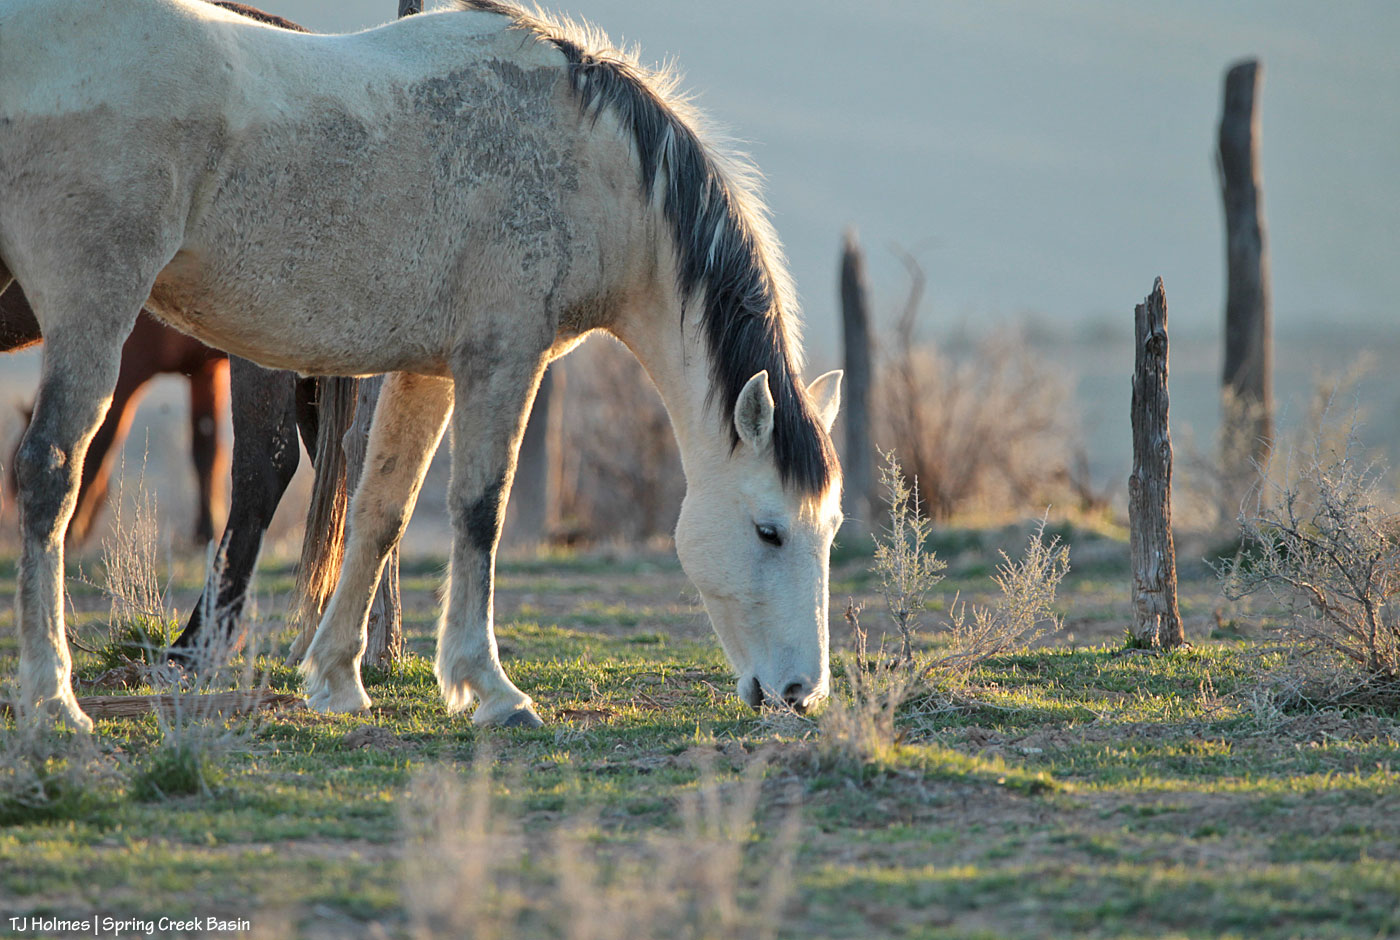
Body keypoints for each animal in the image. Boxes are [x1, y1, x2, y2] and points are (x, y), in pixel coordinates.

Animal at [0, 0, 844, 731]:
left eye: (830, 528)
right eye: (769, 531)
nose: (801, 691)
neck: (588, 154)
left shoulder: (429, 372)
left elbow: (383, 511)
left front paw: (338, 679)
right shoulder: (502, 361)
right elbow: (479, 512)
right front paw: (490, 687)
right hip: (95, 309)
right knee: (51, 471)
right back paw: (54, 702)